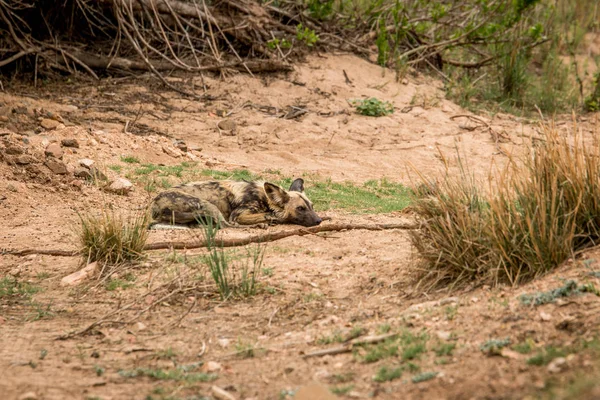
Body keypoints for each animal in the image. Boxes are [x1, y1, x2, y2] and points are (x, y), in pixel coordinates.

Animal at [149, 178, 324, 228]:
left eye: (311, 207)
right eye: (300, 208)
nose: (318, 221)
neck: (264, 198)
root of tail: (154, 204)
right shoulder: (238, 215)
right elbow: (270, 215)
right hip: (209, 206)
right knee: (227, 225)